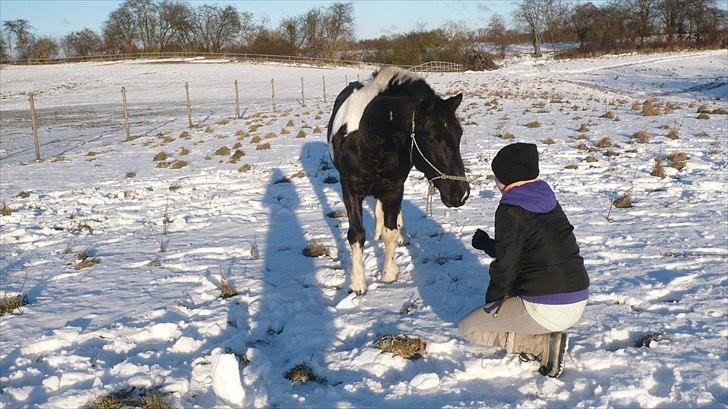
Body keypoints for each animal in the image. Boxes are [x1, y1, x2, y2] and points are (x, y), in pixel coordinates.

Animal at [327, 67, 471, 295]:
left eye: (459, 134)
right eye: (430, 136)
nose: (461, 193)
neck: (369, 135)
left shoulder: (394, 187)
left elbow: (390, 232)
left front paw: (389, 274)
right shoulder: (350, 188)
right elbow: (356, 234)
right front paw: (358, 284)